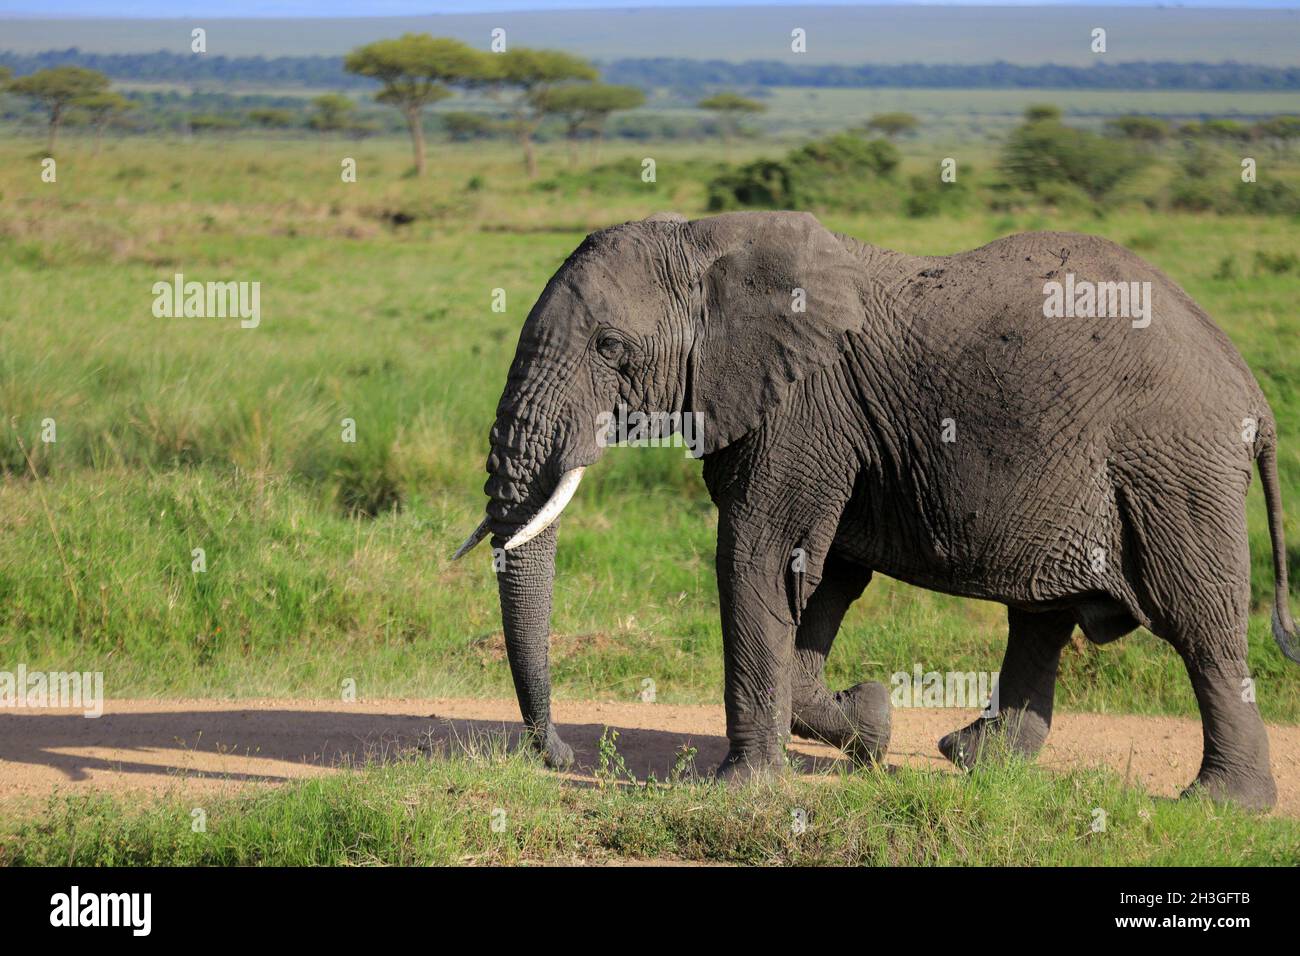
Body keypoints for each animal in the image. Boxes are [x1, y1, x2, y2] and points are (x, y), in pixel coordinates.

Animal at [452, 209, 1294, 806]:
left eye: (609, 347)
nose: (562, 755)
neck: (707, 241)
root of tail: (1252, 394)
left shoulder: (803, 406)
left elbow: (759, 555)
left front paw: (739, 790)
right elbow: (822, 576)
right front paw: (873, 725)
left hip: (1172, 470)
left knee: (1201, 626)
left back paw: (1221, 805)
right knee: (1043, 618)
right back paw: (974, 761)